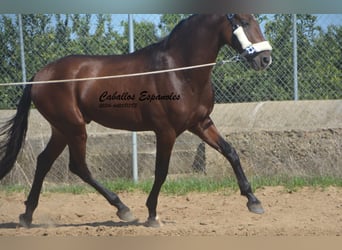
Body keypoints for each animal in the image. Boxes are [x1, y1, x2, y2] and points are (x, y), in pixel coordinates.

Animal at [0, 14, 272, 229]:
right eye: (244, 22)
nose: (265, 59)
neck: (179, 70)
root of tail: (39, 76)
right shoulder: (166, 131)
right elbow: (161, 171)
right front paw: (152, 214)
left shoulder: (201, 123)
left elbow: (230, 152)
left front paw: (254, 201)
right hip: (74, 128)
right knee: (78, 167)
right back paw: (123, 209)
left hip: (61, 130)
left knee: (44, 162)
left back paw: (27, 215)